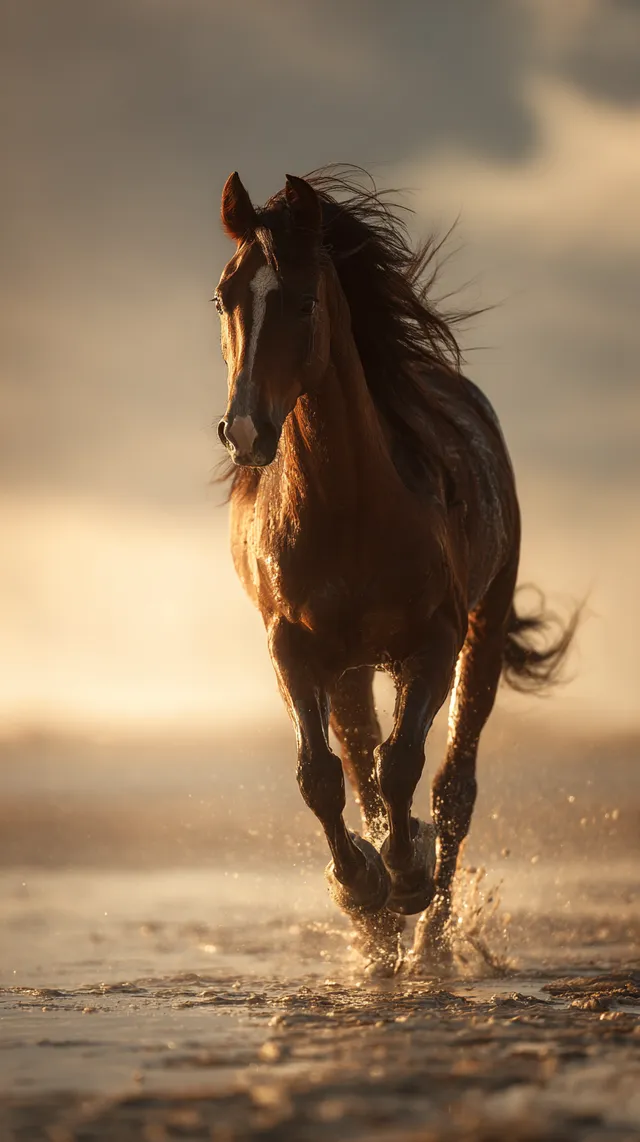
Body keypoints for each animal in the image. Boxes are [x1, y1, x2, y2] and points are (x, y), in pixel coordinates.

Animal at [213, 166, 577, 973]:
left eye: (304, 301)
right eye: (224, 296)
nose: (245, 431)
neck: (349, 507)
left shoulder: (434, 641)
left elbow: (407, 764)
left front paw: (404, 871)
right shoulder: (292, 647)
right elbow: (321, 776)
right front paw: (360, 884)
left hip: (482, 631)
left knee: (453, 788)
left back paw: (430, 938)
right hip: (350, 669)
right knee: (360, 765)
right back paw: (380, 937)